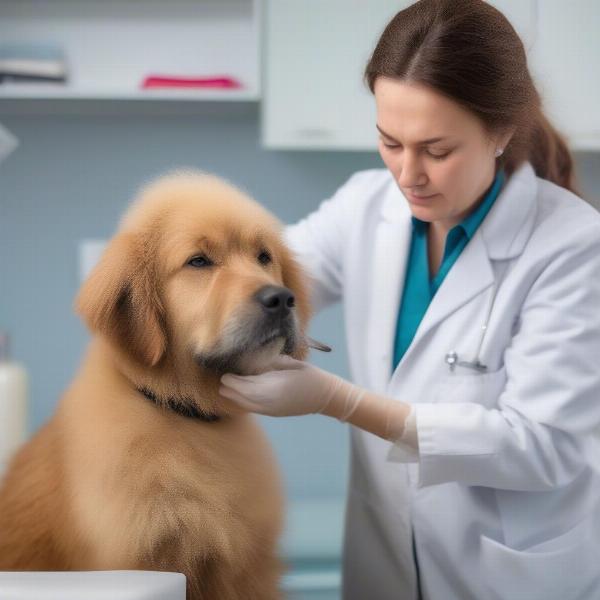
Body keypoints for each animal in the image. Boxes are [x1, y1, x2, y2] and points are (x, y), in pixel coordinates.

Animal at [0, 170, 312, 600]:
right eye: (199, 261)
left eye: (264, 257)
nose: (281, 299)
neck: (188, 421)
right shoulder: (147, 556)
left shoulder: (248, 571)